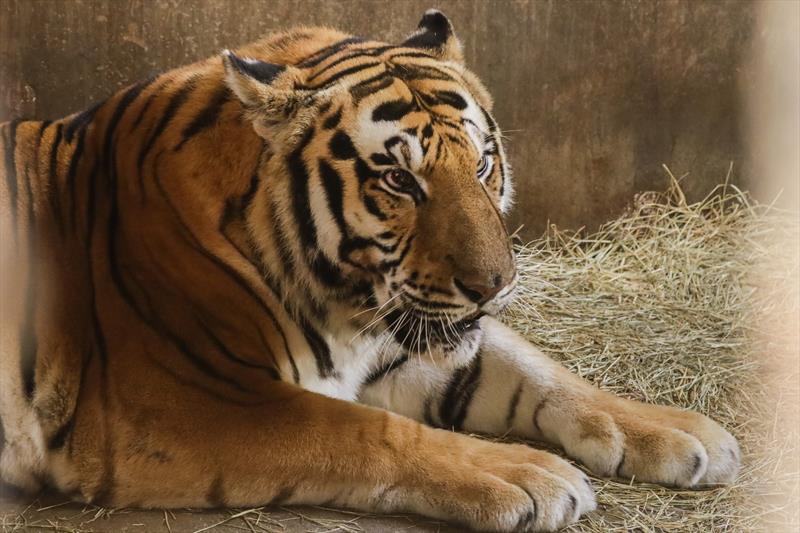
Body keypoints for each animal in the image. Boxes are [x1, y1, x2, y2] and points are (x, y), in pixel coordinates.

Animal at [0, 10, 740, 532]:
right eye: (398, 179)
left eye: (481, 164)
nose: (494, 286)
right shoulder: (177, 404)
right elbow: (362, 430)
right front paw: (530, 476)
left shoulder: (408, 339)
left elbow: (542, 371)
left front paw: (682, 431)